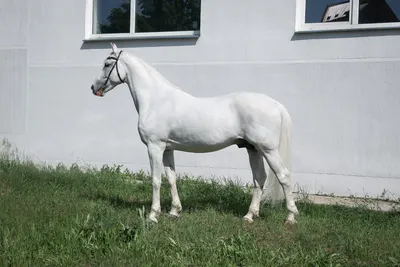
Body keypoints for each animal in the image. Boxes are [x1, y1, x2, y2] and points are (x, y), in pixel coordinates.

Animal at [90, 43, 296, 226]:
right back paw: (249, 216)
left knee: (283, 176)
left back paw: (290, 217)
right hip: (253, 149)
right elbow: (171, 178)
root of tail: (274, 103)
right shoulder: (167, 149)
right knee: (259, 178)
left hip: (268, 149)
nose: (93, 88)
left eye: (107, 64)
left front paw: (153, 215)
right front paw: (174, 211)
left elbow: (156, 180)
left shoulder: (155, 147)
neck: (156, 100)